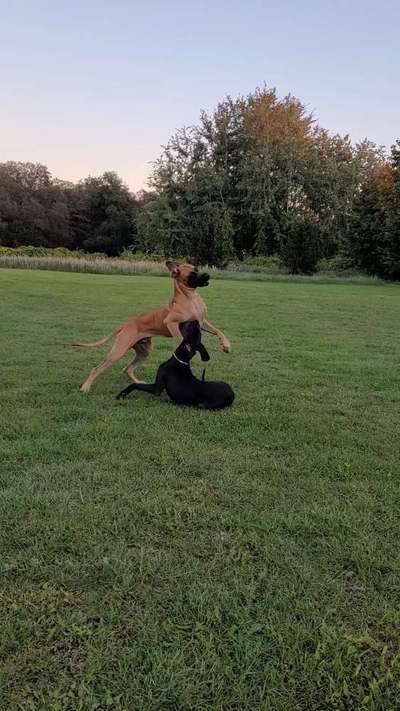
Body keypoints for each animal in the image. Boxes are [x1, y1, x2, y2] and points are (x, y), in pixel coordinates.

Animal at [74, 262, 231, 394]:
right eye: (192, 274)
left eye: (197, 269)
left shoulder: (203, 322)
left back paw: (137, 382)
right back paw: (85, 387)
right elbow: (180, 338)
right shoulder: (171, 323)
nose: (208, 275)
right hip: (118, 351)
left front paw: (226, 345)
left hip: (144, 351)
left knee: (127, 369)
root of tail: (126, 324)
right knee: (97, 369)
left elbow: (219, 332)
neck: (190, 298)